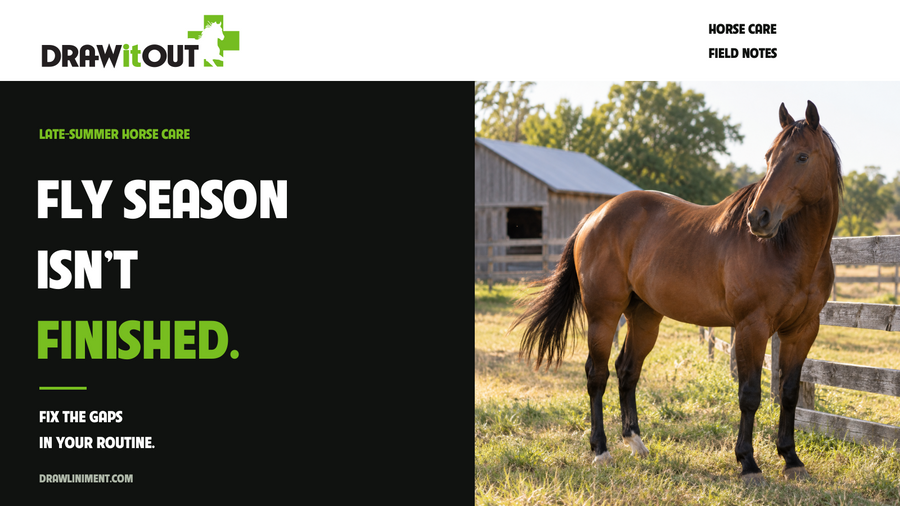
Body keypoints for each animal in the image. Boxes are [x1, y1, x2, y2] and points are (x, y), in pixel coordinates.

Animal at [509, 101, 841, 484]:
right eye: (769, 156)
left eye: (802, 157)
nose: (758, 218)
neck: (789, 251)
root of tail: (595, 215)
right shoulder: (752, 328)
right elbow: (750, 395)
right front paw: (748, 462)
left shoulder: (802, 330)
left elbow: (788, 394)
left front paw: (791, 458)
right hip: (603, 314)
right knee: (597, 374)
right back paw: (601, 450)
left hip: (644, 316)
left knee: (627, 370)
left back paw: (636, 442)